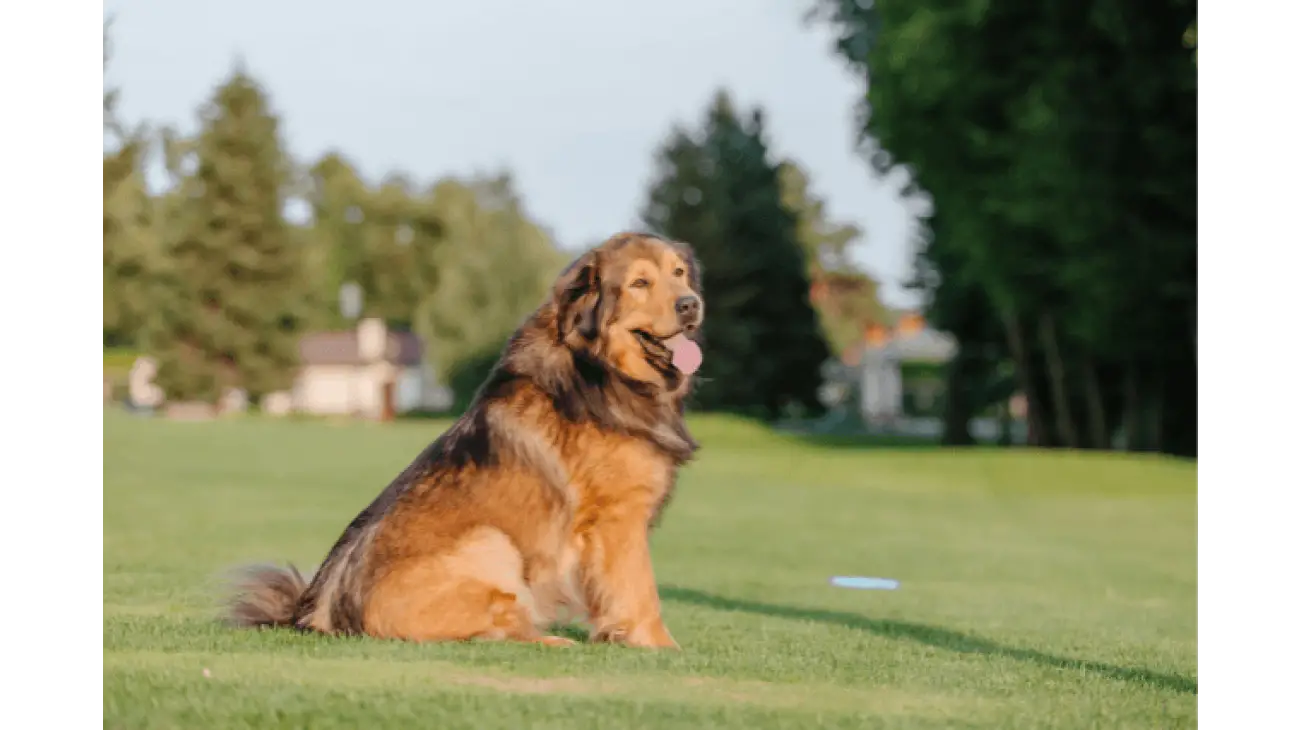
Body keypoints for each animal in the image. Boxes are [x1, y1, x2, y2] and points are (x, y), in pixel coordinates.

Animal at [228, 229, 707, 644]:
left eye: (679, 273)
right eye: (640, 283)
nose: (691, 305)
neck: (597, 367)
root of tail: (321, 612)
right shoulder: (618, 520)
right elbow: (640, 593)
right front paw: (660, 647)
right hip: (492, 542)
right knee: (500, 629)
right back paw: (553, 641)